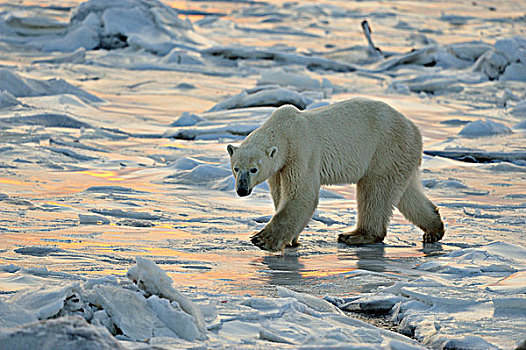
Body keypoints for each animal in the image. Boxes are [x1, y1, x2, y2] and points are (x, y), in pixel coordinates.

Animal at [228, 98, 446, 252]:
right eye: (236, 168)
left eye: (253, 169)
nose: (242, 190)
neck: (283, 131)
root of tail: (415, 129)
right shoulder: (279, 168)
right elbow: (280, 194)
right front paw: (292, 239)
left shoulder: (301, 151)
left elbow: (302, 194)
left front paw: (262, 239)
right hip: (400, 157)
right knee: (406, 193)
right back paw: (434, 230)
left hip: (385, 148)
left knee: (376, 191)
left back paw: (354, 235)